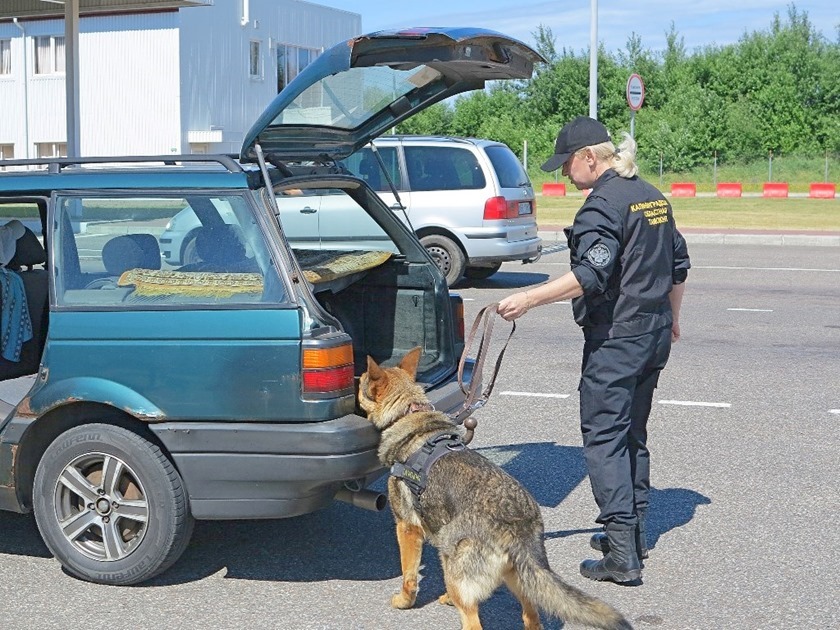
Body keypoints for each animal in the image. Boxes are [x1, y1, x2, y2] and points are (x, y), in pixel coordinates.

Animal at [358, 346, 632, 630]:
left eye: (361, 380)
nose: (355, 377)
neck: (409, 412)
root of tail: (515, 524)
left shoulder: (407, 528)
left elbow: (408, 573)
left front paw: (404, 600)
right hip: (517, 579)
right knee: (531, 616)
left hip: (462, 568)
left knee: (472, 620)